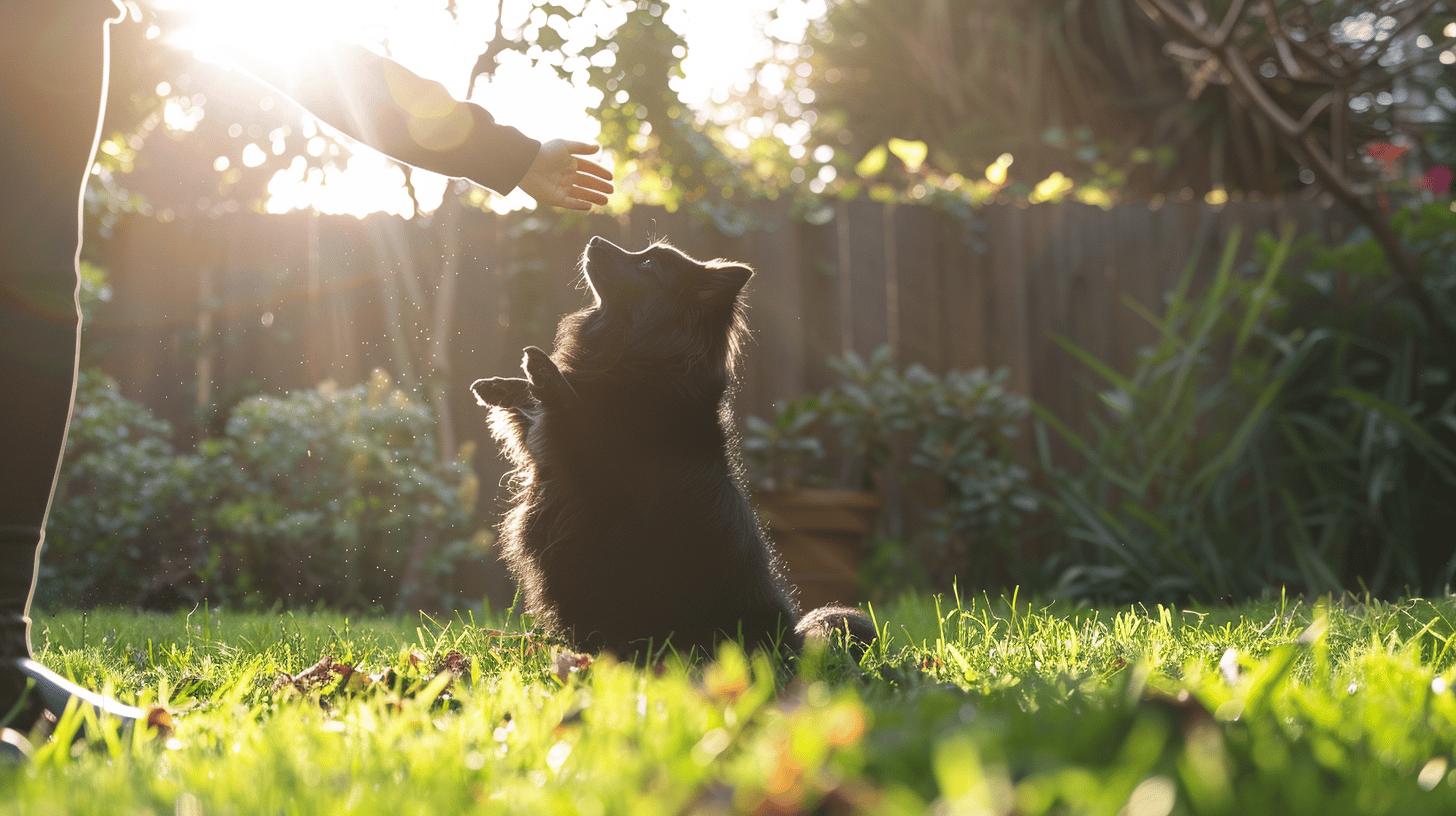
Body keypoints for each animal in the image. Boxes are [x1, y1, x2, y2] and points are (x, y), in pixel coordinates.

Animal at [471, 236, 867, 655]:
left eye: (649, 265)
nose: (594, 239)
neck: (644, 355)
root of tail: (790, 643)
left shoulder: (592, 459)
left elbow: (567, 404)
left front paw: (544, 370)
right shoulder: (544, 447)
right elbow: (536, 407)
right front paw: (500, 386)